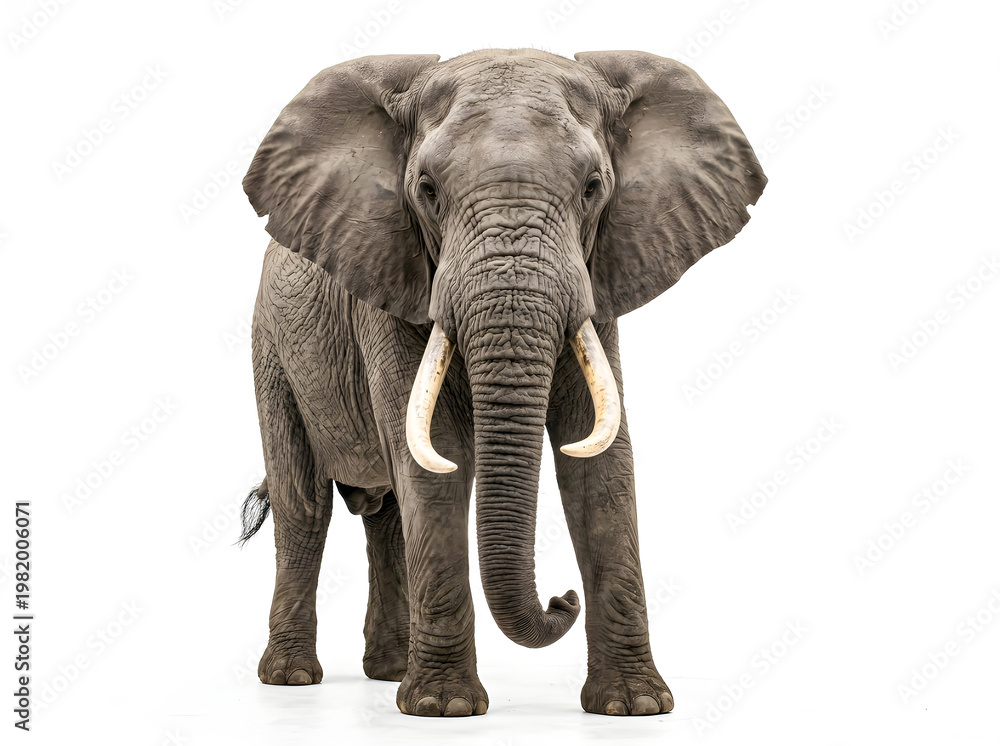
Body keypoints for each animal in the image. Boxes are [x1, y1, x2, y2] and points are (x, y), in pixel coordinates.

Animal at [238, 48, 765, 717]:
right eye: (427, 191)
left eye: (593, 188)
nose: (562, 599)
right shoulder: (393, 280)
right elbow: (438, 460)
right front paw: (443, 709)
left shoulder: (599, 276)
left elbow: (600, 464)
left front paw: (636, 707)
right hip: (272, 350)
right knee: (303, 504)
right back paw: (292, 679)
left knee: (386, 516)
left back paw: (387, 672)